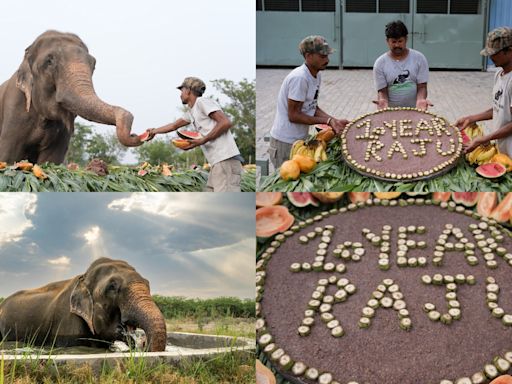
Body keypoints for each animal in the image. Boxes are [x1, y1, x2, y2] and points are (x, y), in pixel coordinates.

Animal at [0, 29, 142, 163]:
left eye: (94, 64)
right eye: (49, 61)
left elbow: (51, 161)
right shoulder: (14, 112)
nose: (135, 135)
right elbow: (7, 157)